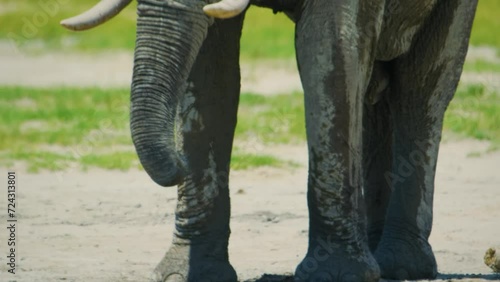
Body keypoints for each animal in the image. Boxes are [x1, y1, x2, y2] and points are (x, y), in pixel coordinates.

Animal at [62, 0, 476, 280]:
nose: (175, 167)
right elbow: (212, 68)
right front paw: (184, 276)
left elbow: (328, 52)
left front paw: (334, 276)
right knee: (375, 97)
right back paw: (379, 258)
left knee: (421, 90)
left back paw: (400, 266)